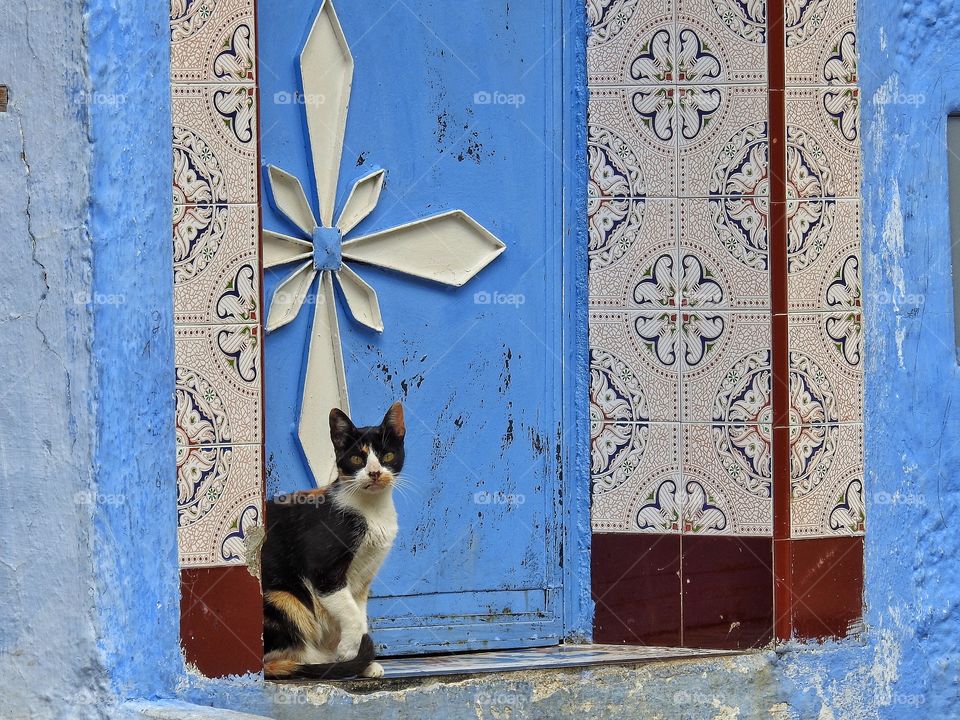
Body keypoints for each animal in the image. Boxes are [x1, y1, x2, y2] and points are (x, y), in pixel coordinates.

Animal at [258, 402, 404, 676]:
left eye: (387, 456)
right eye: (357, 459)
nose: (375, 473)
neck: (371, 510)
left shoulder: (362, 579)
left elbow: (359, 613)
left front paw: (362, 661)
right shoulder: (324, 571)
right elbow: (351, 614)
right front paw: (349, 653)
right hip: (283, 597)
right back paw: (321, 659)